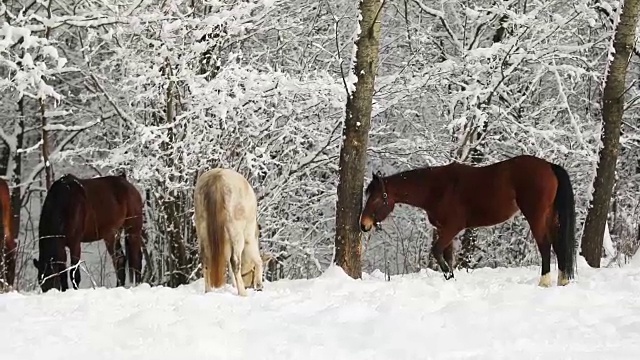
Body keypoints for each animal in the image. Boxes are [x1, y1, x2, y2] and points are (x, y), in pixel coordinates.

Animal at [195, 167, 264, 296]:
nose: (248, 285)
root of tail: (216, 178)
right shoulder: (249, 237)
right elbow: (258, 260)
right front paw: (259, 285)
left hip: (202, 231)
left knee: (205, 260)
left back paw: (208, 291)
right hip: (237, 233)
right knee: (235, 261)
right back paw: (242, 293)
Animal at [362, 154, 576, 286]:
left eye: (376, 198)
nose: (363, 225)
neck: (437, 188)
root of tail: (549, 166)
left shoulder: (452, 228)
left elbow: (437, 251)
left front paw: (449, 277)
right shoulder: (443, 229)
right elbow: (446, 256)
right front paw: (451, 278)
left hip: (536, 216)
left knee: (545, 246)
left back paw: (544, 282)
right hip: (551, 216)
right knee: (558, 245)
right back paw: (562, 280)